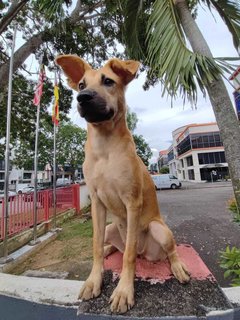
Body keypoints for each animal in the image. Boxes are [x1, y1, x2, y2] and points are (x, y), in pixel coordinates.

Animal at [55, 55, 189, 312]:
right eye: (81, 84)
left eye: (108, 81)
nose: (82, 97)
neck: (105, 146)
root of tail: (144, 253)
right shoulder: (97, 203)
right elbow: (95, 245)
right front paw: (94, 280)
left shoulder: (132, 202)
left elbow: (127, 255)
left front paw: (124, 291)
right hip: (110, 228)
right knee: (112, 246)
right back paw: (110, 249)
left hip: (159, 230)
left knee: (166, 251)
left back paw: (178, 267)